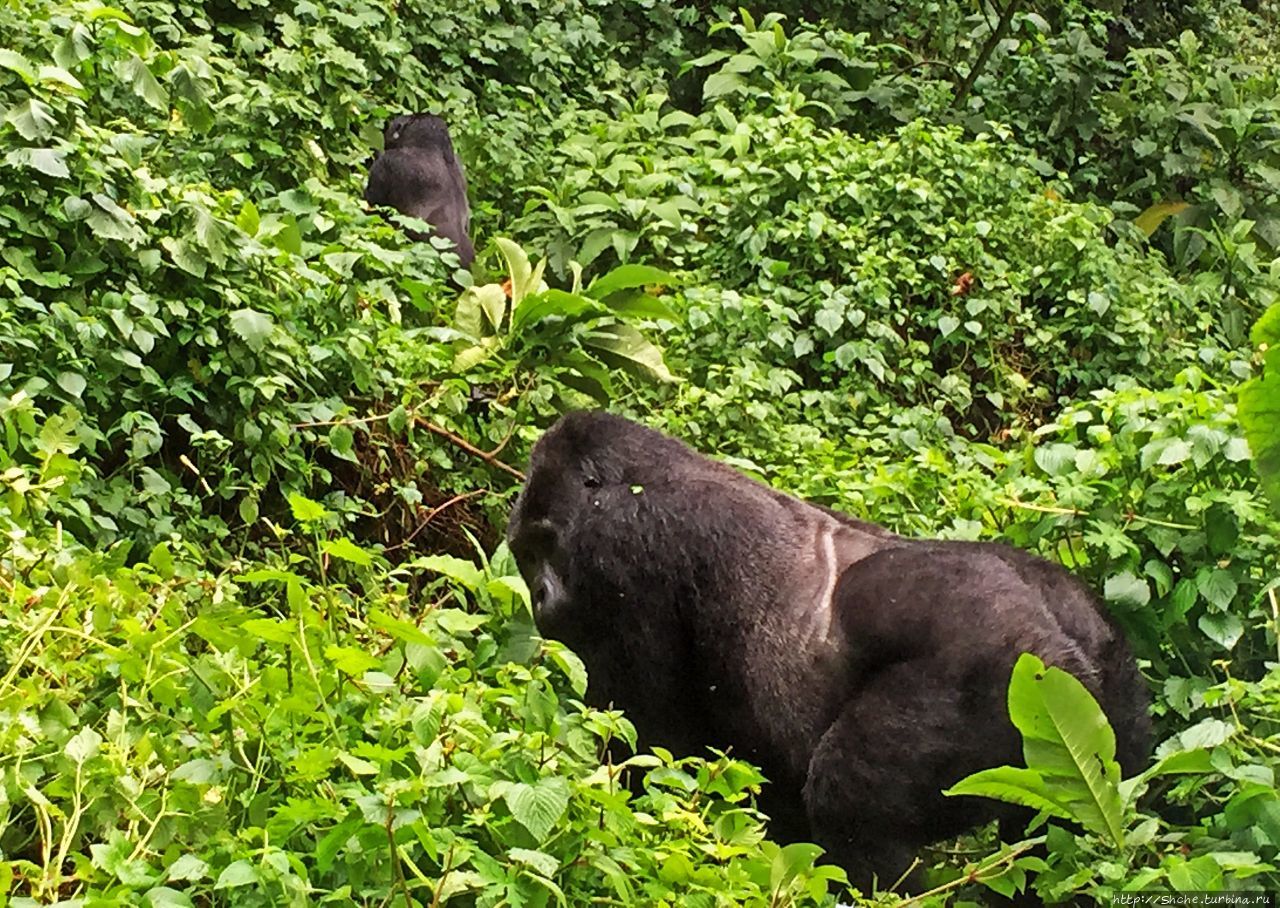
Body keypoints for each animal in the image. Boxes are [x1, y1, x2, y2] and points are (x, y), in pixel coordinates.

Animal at [506, 409, 1152, 886]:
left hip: (1005, 673)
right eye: (522, 556)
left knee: (849, 798)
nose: (539, 595)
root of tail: (1066, 638)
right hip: (1102, 691)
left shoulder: (623, 550)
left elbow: (651, 739)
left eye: (542, 545)